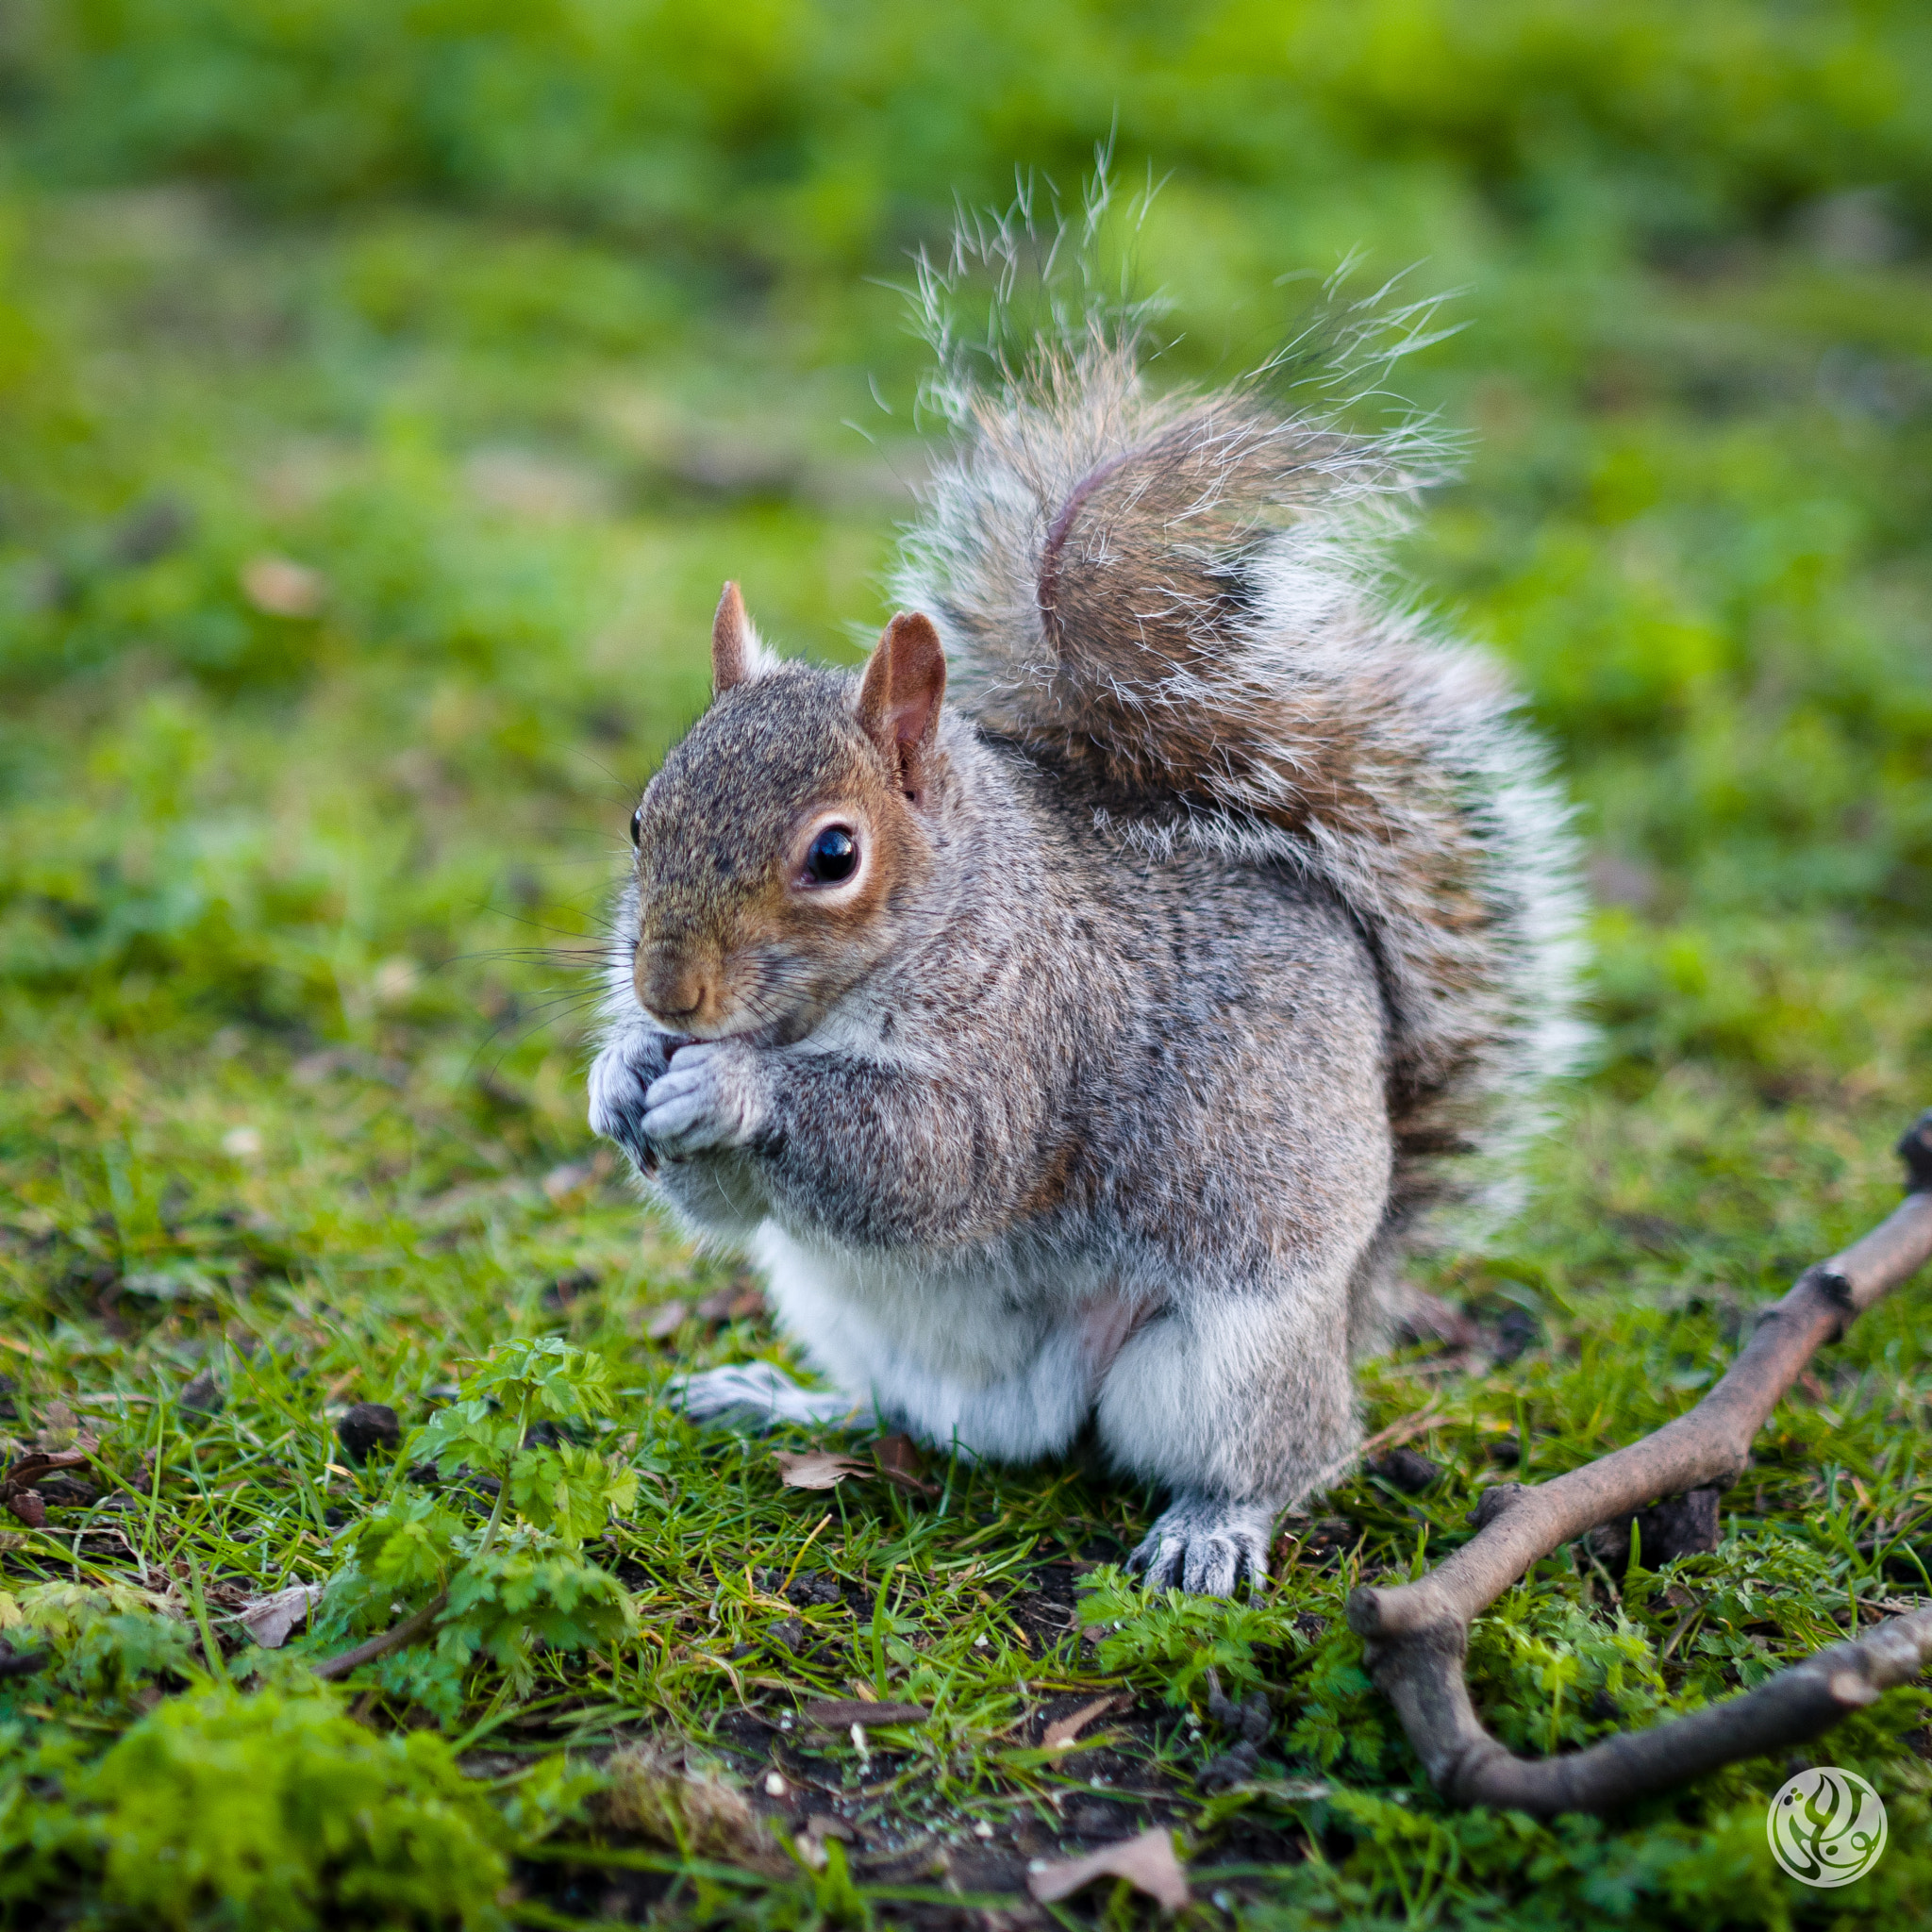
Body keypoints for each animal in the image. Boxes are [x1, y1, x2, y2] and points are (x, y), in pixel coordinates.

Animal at [583, 305, 1584, 1599]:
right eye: (641, 818)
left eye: (834, 854)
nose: (668, 993)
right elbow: (725, 1199)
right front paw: (619, 1071)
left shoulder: (1033, 1037)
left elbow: (939, 1159)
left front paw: (731, 1084)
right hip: (844, 1310)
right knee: (906, 1413)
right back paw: (786, 1401)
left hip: (1225, 1359)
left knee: (1288, 1450)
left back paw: (1213, 1524)